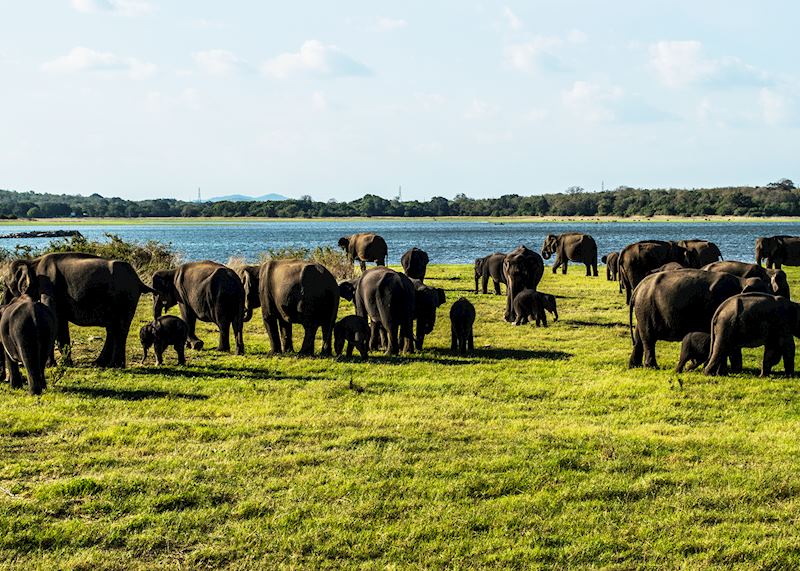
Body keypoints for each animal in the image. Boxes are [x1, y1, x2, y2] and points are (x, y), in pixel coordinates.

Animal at [3, 252, 154, 368]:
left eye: (5, 284)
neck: (33, 262)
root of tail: (138, 279)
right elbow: (60, 322)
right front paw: (66, 364)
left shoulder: (48, 287)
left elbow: (54, 319)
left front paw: (50, 365)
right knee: (113, 328)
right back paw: (100, 363)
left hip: (124, 296)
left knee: (119, 328)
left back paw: (115, 365)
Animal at [629, 268, 771, 368]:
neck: (741, 281)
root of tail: (638, 288)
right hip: (646, 307)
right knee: (648, 337)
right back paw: (652, 367)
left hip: (643, 310)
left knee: (639, 336)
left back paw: (634, 366)